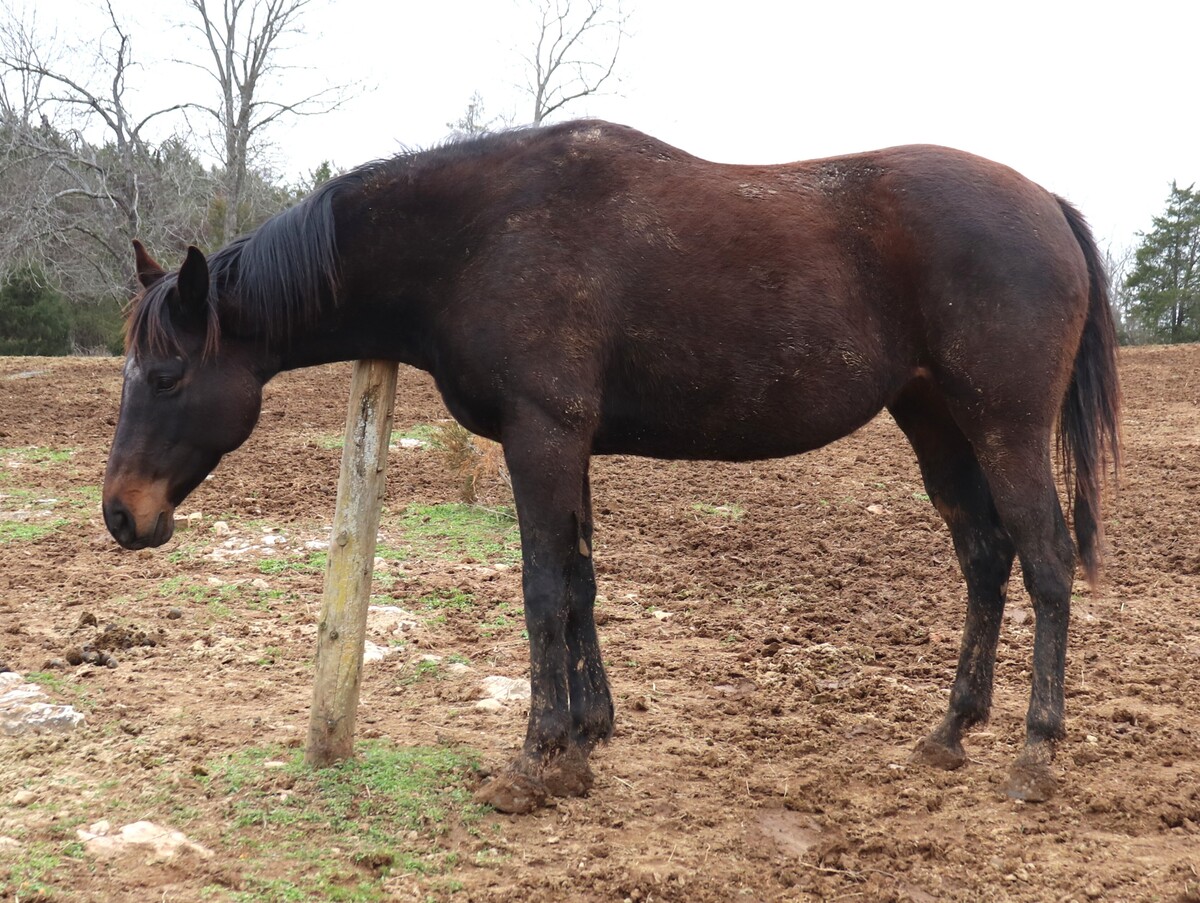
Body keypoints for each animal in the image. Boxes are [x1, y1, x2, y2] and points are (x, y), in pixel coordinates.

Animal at [103, 120, 1120, 813]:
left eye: (166, 373)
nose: (121, 515)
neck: (478, 235)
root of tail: (1047, 204)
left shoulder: (542, 437)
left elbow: (543, 589)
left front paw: (535, 761)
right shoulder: (566, 443)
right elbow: (583, 583)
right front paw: (588, 740)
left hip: (1004, 427)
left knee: (1047, 560)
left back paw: (1035, 752)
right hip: (936, 423)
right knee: (985, 558)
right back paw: (949, 732)